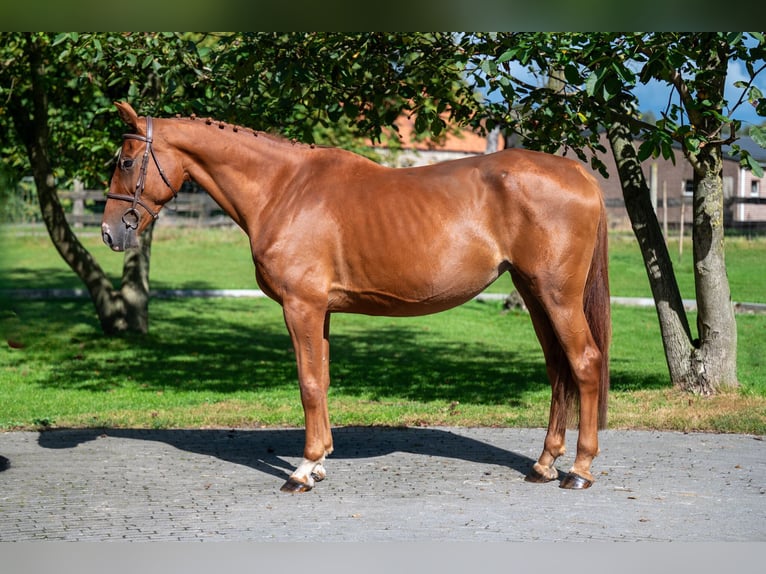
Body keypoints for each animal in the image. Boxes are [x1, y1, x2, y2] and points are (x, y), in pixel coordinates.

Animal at [100, 101, 612, 492]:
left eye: (125, 161)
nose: (109, 233)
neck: (284, 188)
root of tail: (578, 172)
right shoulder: (320, 311)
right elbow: (322, 379)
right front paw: (320, 461)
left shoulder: (301, 307)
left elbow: (308, 383)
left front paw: (303, 470)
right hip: (533, 292)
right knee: (558, 369)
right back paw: (544, 465)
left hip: (557, 295)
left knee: (585, 362)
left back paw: (579, 470)